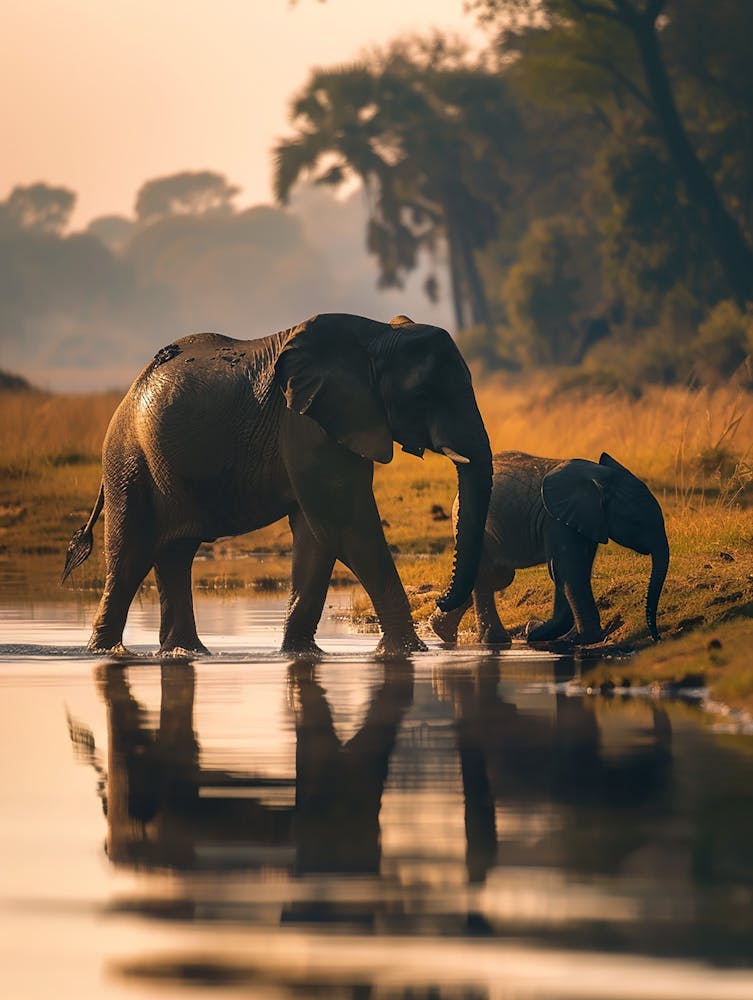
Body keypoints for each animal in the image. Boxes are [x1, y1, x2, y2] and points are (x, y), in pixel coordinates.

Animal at [62, 313, 492, 657]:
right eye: (423, 395)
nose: (441, 607)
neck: (376, 337)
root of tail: (129, 393)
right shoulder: (307, 423)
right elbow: (346, 527)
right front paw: (409, 651)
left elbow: (317, 538)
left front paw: (300, 653)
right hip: (129, 463)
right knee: (129, 557)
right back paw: (105, 653)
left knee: (174, 554)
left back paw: (186, 653)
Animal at [430, 450, 669, 646]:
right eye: (636, 522)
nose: (657, 638)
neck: (598, 479)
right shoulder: (556, 521)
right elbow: (567, 572)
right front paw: (590, 639)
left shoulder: (586, 522)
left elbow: (575, 571)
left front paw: (563, 637)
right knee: (488, 575)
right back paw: (494, 642)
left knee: (498, 577)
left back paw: (442, 632)